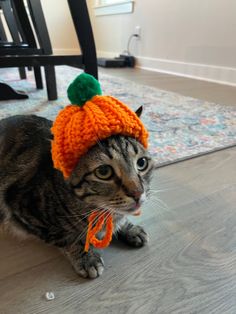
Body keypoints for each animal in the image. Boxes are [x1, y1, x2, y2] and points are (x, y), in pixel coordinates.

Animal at [0, 110, 155, 280]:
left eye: (142, 163)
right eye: (103, 172)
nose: (138, 193)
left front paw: (129, 228)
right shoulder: (22, 209)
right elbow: (68, 237)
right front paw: (87, 257)